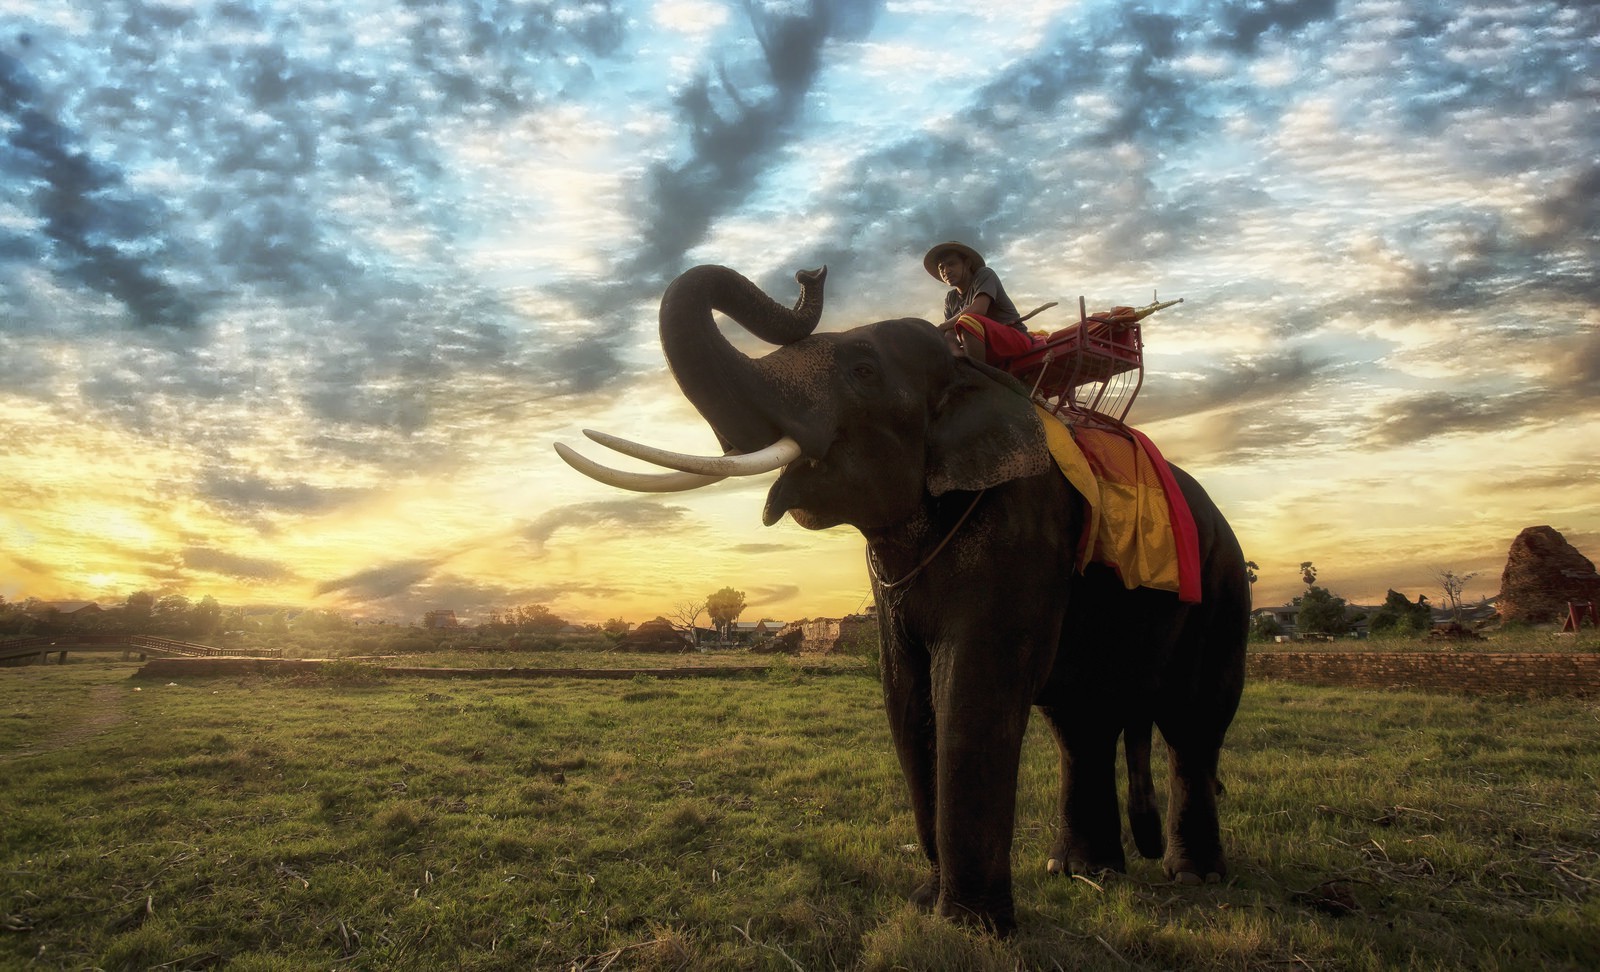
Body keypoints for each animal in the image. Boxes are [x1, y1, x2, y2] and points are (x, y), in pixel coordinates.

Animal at [556, 264, 1250, 934]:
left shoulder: (1024, 526)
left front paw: (970, 928)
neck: (979, 378)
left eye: (862, 372)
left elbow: (970, 690)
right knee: (1082, 723)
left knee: (1192, 718)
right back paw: (1082, 872)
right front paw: (926, 903)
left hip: (1222, 586)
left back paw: (1193, 878)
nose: (811, 274)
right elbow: (905, 693)